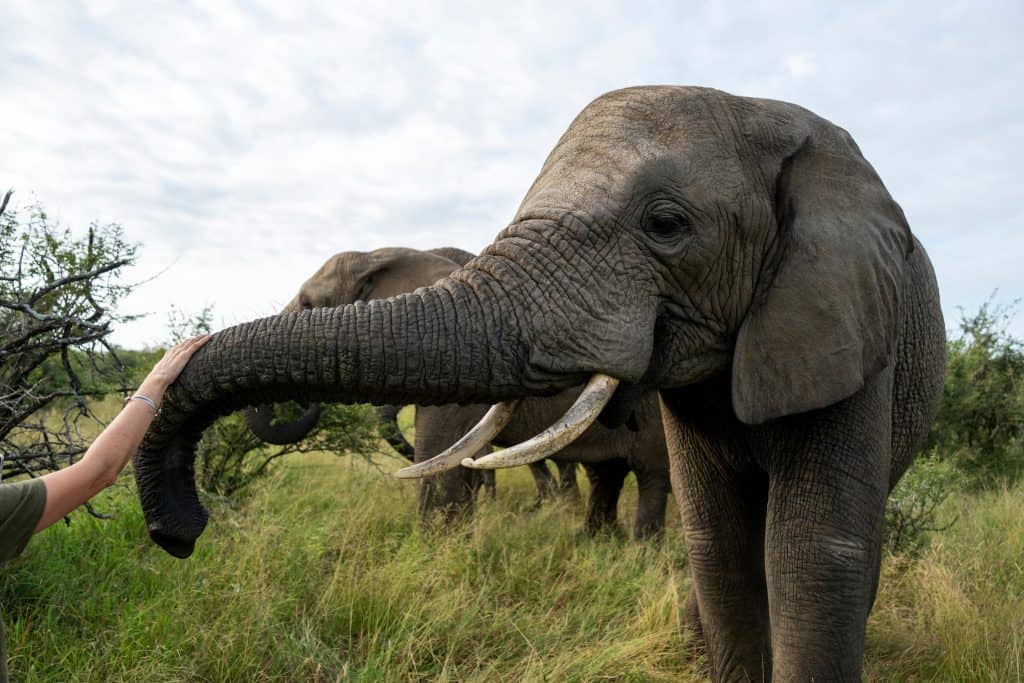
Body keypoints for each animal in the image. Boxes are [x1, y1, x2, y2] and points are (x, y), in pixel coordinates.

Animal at [247, 246, 671, 535]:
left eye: (307, 303)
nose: (304, 402)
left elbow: (441, 450)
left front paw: (435, 545)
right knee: (604, 474)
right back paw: (592, 538)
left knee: (651, 474)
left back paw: (639, 549)